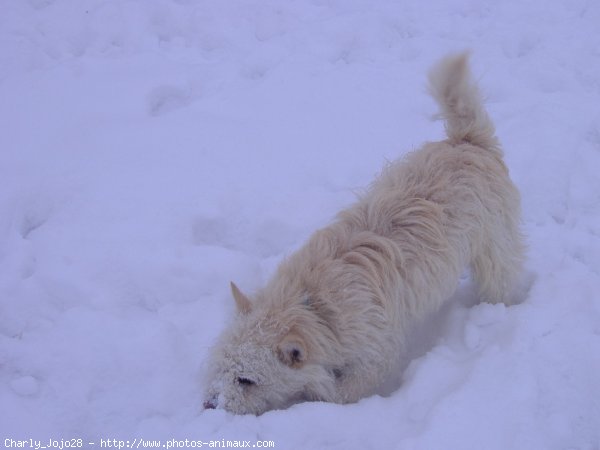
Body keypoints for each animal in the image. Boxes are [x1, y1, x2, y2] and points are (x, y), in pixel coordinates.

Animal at [203, 52, 524, 414]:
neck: (313, 307)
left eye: (246, 380)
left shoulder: (374, 354)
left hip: (495, 250)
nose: (210, 404)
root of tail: (468, 141)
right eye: (220, 366)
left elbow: (342, 393)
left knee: (502, 278)